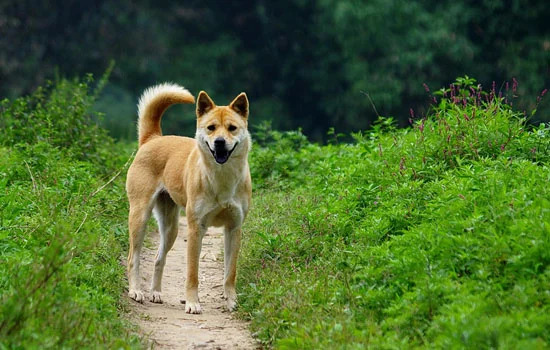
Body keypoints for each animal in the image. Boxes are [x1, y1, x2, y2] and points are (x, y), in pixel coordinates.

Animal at [126, 83, 252, 314]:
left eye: (232, 128)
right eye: (211, 128)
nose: (219, 142)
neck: (222, 178)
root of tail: (153, 138)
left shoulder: (234, 228)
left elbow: (230, 273)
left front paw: (231, 301)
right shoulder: (196, 229)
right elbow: (192, 273)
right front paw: (193, 302)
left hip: (171, 228)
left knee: (159, 259)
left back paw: (155, 293)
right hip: (140, 217)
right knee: (133, 258)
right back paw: (136, 291)